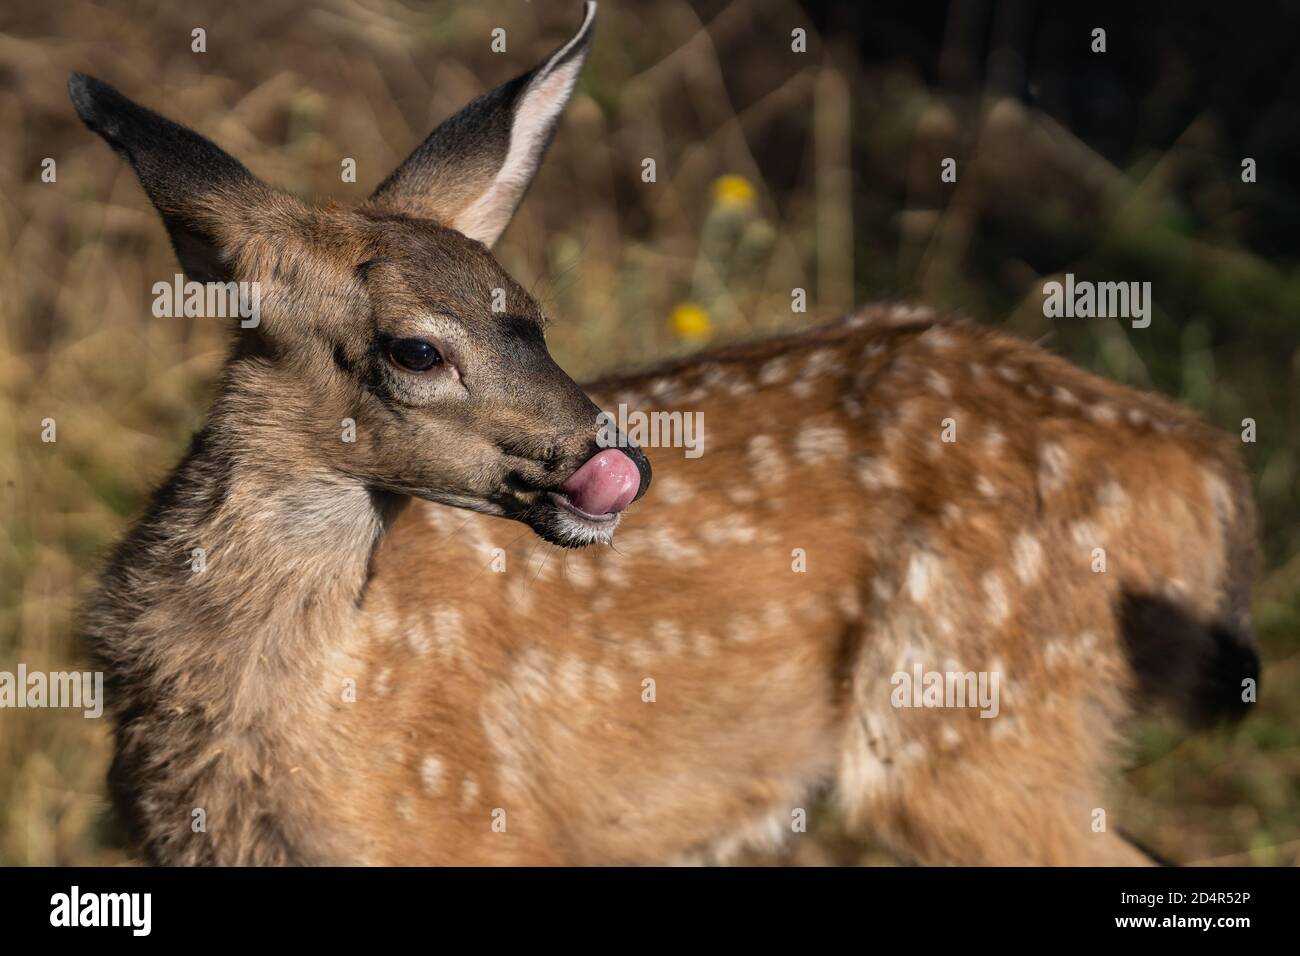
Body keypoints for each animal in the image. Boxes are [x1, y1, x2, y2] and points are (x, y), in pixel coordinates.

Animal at [73, 1, 1258, 868]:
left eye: (533, 313)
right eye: (416, 349)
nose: (619, 461)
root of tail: (1195, 459)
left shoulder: (482, 826)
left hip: (978, 718)